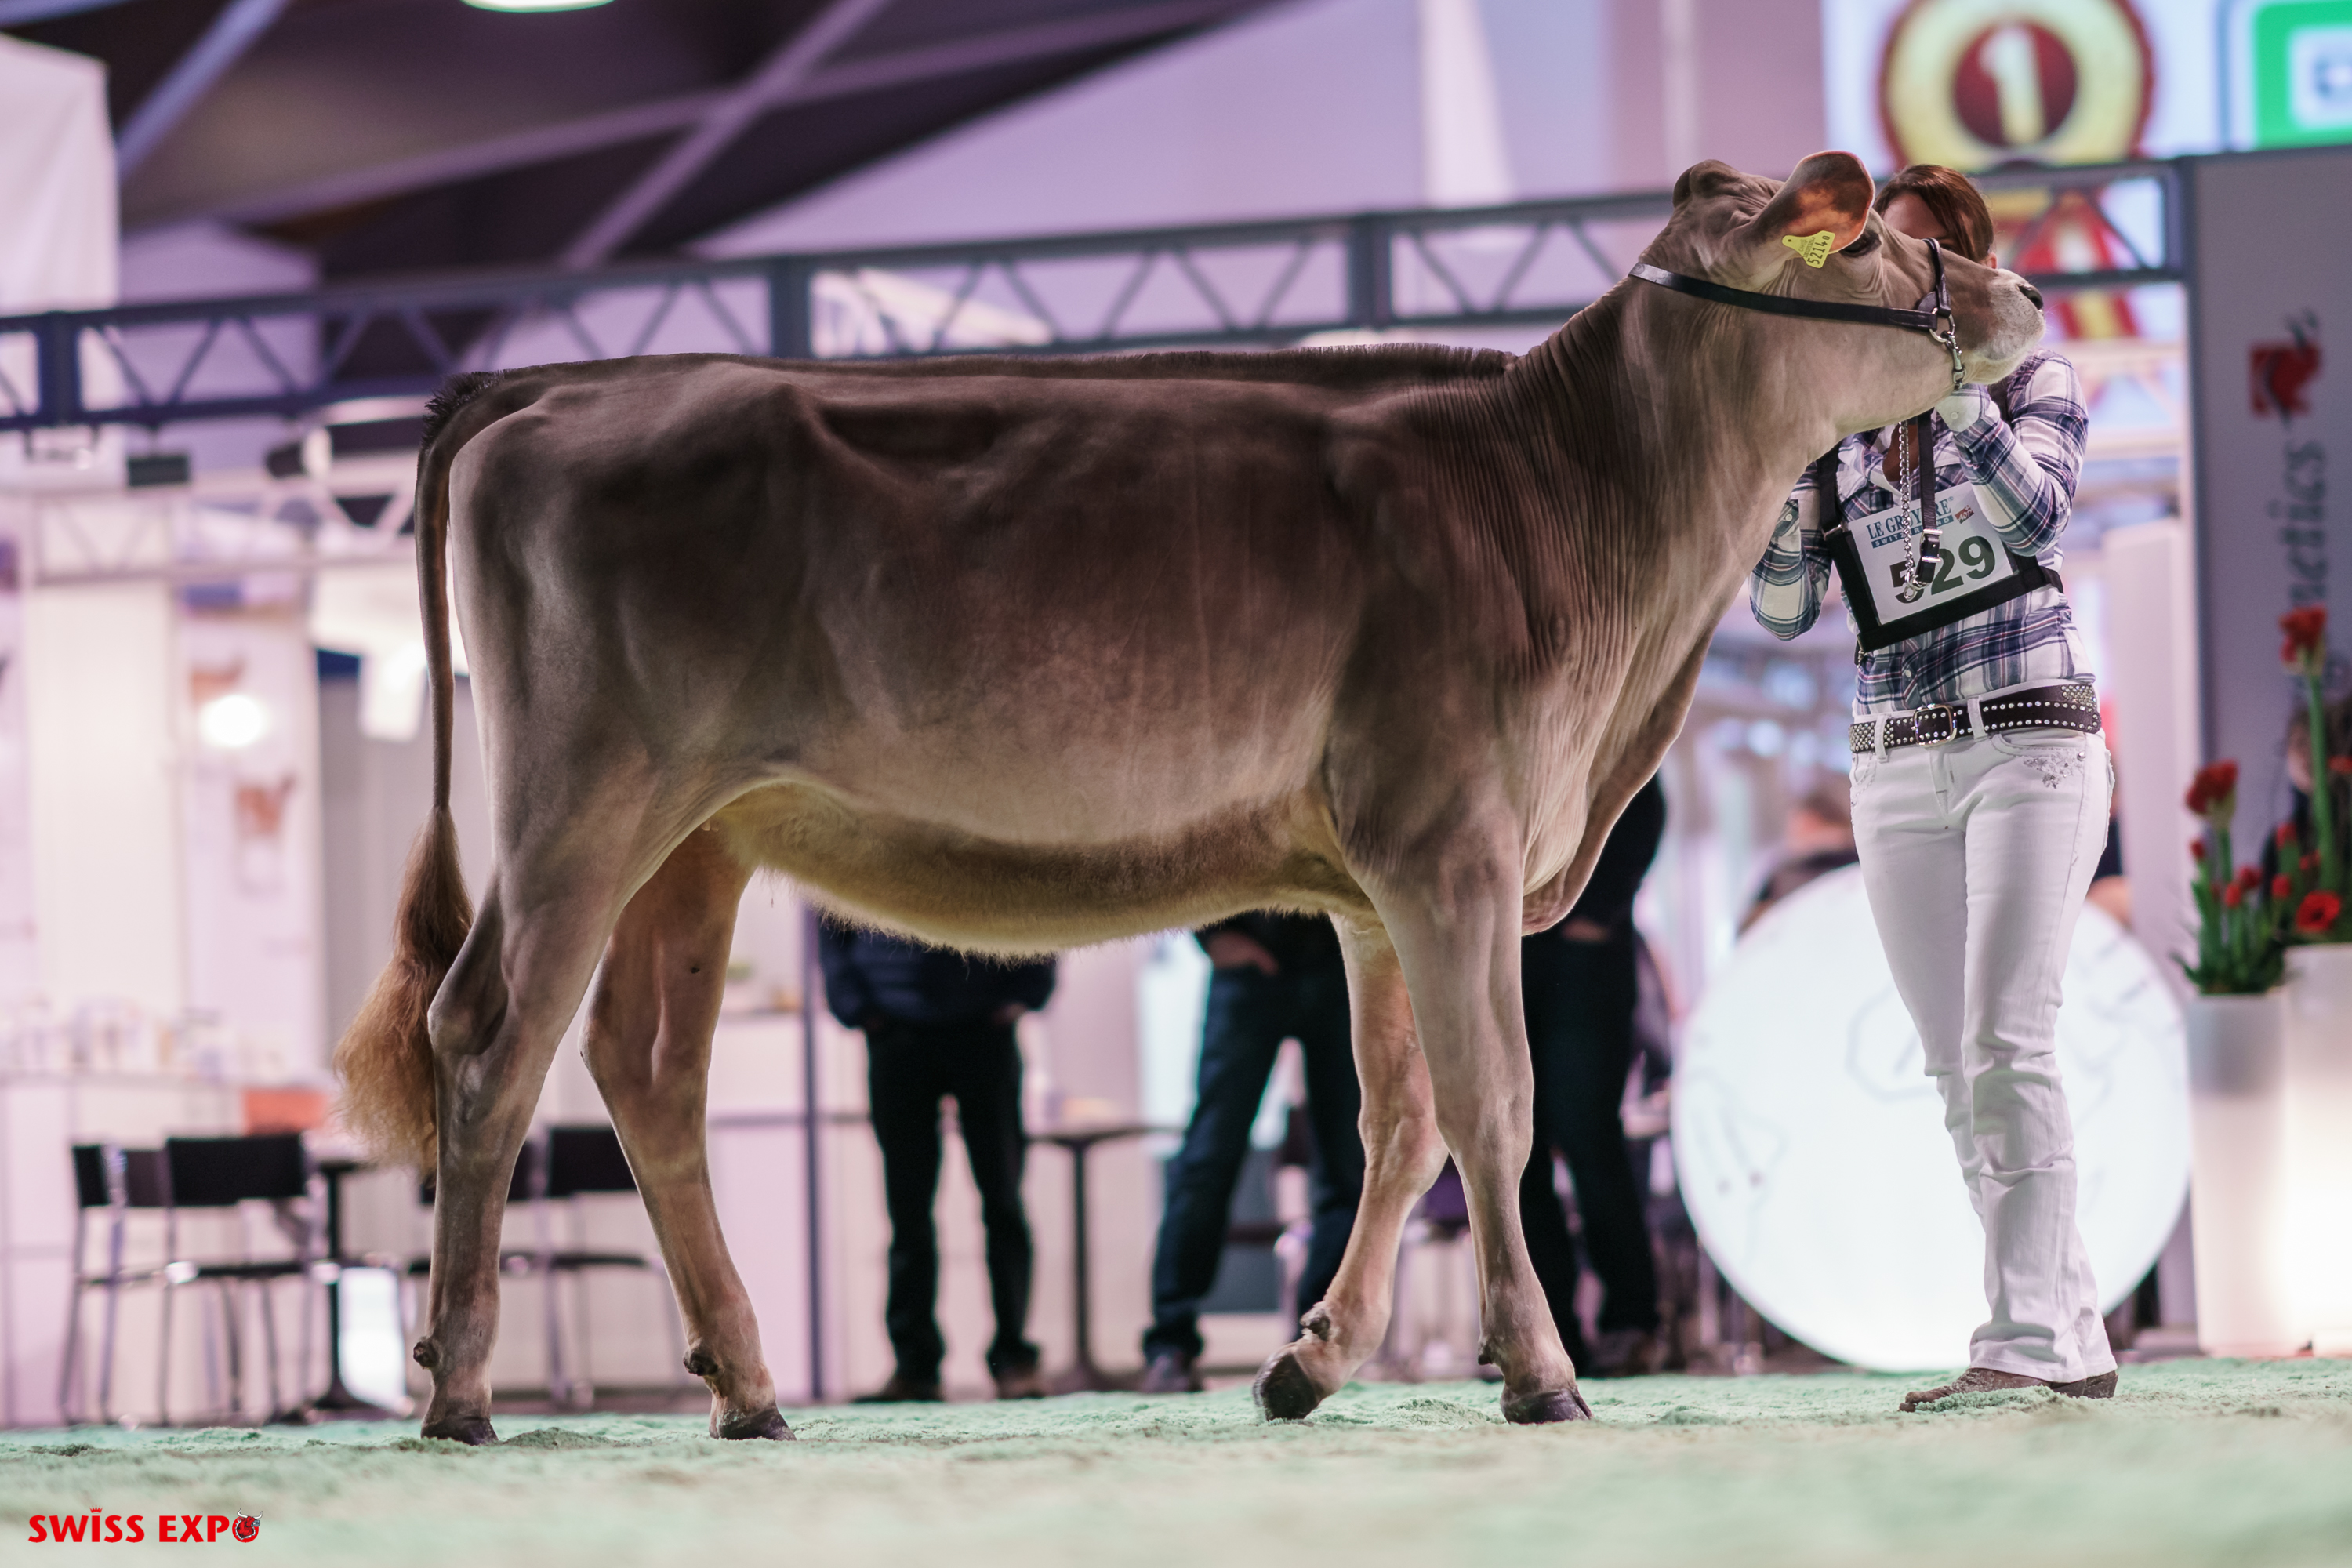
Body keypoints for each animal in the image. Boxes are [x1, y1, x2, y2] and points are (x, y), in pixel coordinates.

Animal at [337, 152, 2045, 1443]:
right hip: (581, 799)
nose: (2025, 293)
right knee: (491, 1034)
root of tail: (548, 392)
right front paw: (1545, 1373)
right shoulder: (1453, 843)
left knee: (647, 1068)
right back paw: (461, 1390)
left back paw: (747, 1386)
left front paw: (1312, 1358)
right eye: (1876, 237)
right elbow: (1497, 1104)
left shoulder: (1385, 880)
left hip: (697, 839)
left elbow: (1398, 1121)